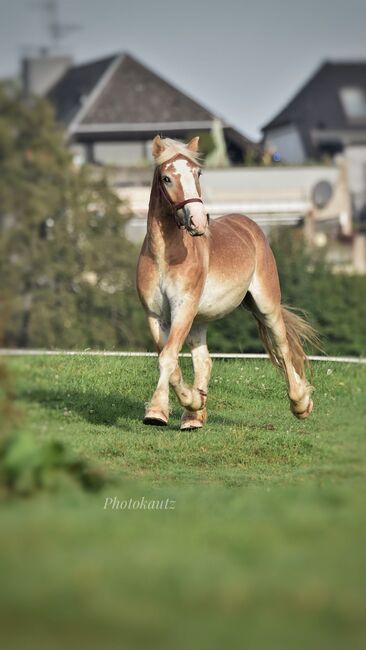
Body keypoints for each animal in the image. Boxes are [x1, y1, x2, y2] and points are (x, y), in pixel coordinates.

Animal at [136, 135, 316, 430]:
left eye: (197, 173)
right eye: (166, 178)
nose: (198, 220)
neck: (164, 257)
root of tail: (250, 226)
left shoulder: (183, 308)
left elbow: (168, 358)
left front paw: (158, 410)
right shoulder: (155, 316)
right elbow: (170, 362)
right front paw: (178, 405)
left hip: (266, 306)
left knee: (283, 349)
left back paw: (301, 404)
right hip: (198, 321)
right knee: (204, 362)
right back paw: (194, 416)